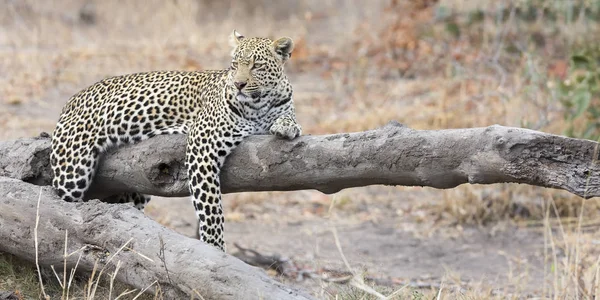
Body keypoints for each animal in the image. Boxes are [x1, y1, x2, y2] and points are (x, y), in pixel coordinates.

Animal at [51, 30, 302, 251]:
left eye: (256, 66)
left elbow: (289, 117)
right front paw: (216, 249)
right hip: (72, 170)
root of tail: (70, 101)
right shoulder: (202, 145)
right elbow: (211, 209)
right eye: (234, 65)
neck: (260, 104)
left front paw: (287, 126)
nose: (238, 84)